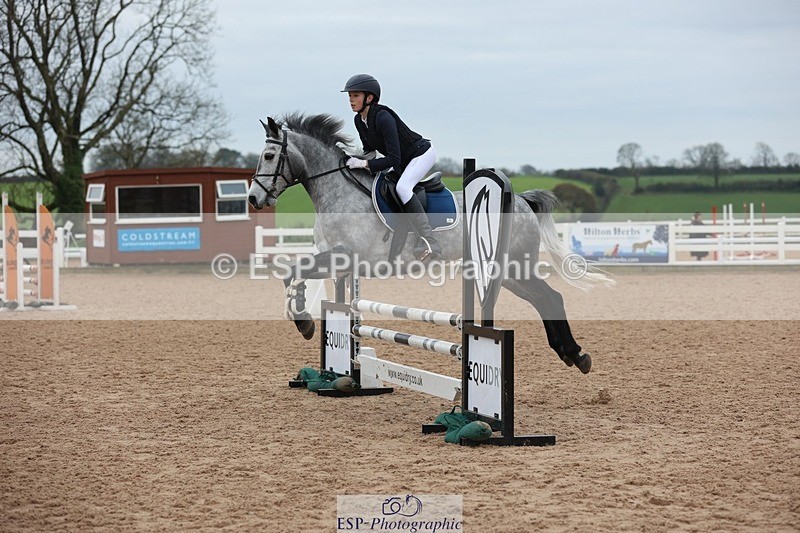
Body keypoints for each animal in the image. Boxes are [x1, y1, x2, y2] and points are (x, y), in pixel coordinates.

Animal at [247, 113, 612, 374]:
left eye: (269, 155)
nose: (253, 199)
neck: (337, 192)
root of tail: (521, 200)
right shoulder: (332, 259)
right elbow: (292, 273)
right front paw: (304, 320)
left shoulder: (348, 258)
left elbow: (294, 272)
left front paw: (304, 323)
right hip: (507, 274)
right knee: (543, 299)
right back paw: (571, 355)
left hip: (513, 265)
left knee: (552, 297)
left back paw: (577, 356)